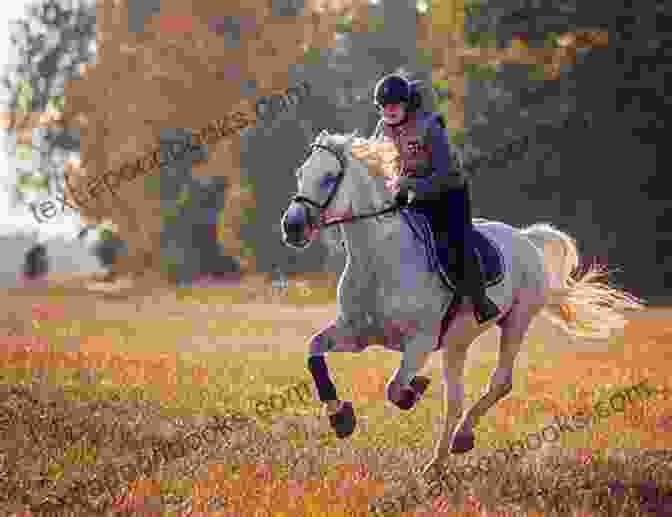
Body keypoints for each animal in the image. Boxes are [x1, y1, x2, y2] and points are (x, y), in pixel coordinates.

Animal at [280, 130, 644, 476]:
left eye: (329, 177)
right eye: (300, 173)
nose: (292, 227)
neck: (378, 260)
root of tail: (525, 237)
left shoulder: (420, 342)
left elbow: (394, 389)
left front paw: (414, 389)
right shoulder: (355, 334)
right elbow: (314, 354)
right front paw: (341, 418)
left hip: (516, 320)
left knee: (499, 382)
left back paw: (462, 437)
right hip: (457, 342)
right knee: (454, 402)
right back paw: (437, 464)